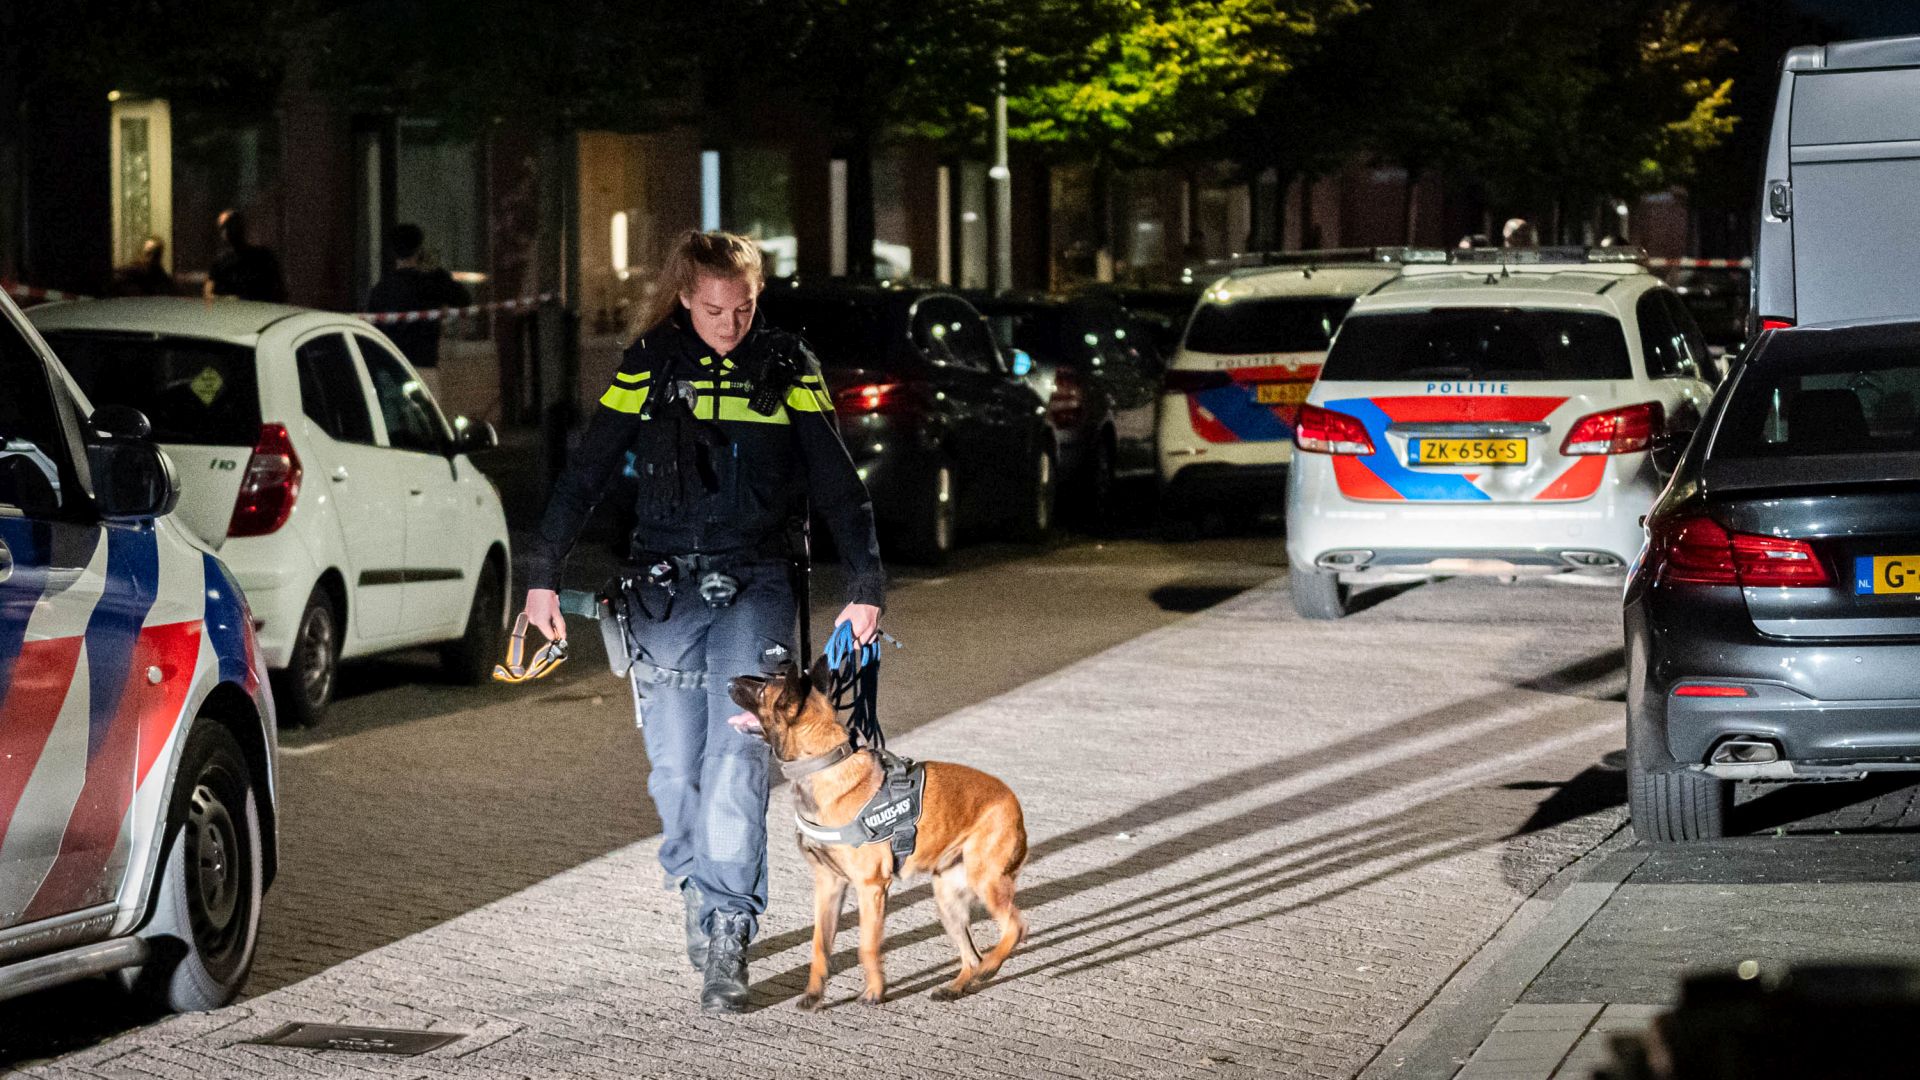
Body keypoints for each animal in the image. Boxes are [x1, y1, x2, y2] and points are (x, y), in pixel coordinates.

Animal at [725, 657, 1029, 1006]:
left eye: (763, 688)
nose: (728, 680)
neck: (823, 764)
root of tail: (1012, 800)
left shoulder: (870, 887)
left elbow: (867, 945)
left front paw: (874, 991)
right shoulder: (829, 885)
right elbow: (819, 944)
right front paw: (814, 993)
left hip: (985, 881)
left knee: (1015, 927)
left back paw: (990, 966)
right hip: (947, 897)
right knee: (972, 956)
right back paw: (957, 986)